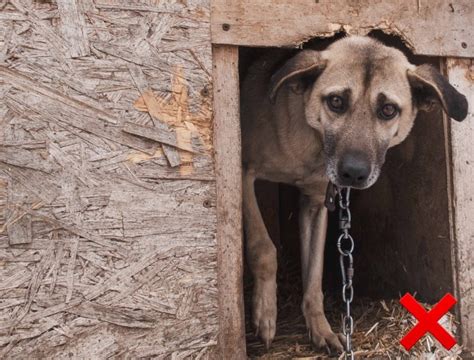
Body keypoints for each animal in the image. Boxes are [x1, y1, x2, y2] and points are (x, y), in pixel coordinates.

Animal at [243, 35, 468, 352]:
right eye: (336, 101)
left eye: (388, 110)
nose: (353, 173)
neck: (313, 145)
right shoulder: (244, 175)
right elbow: (263, 248)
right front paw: (265, 314)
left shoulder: (315, 204)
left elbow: (313, 273)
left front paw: (320, 328)